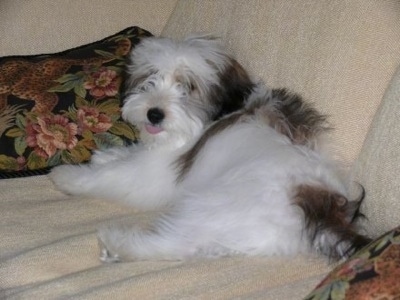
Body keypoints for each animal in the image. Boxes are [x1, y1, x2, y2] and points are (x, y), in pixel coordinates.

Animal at [50, 34, 372, 262]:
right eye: (150, 77)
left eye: (188, 87)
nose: (154, 114)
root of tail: (322, 210)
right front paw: (108, 155)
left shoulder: (158, 173)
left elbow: (115, 177)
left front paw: (69, 175)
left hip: (214, 203)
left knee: (176, 242)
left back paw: (117, 243)